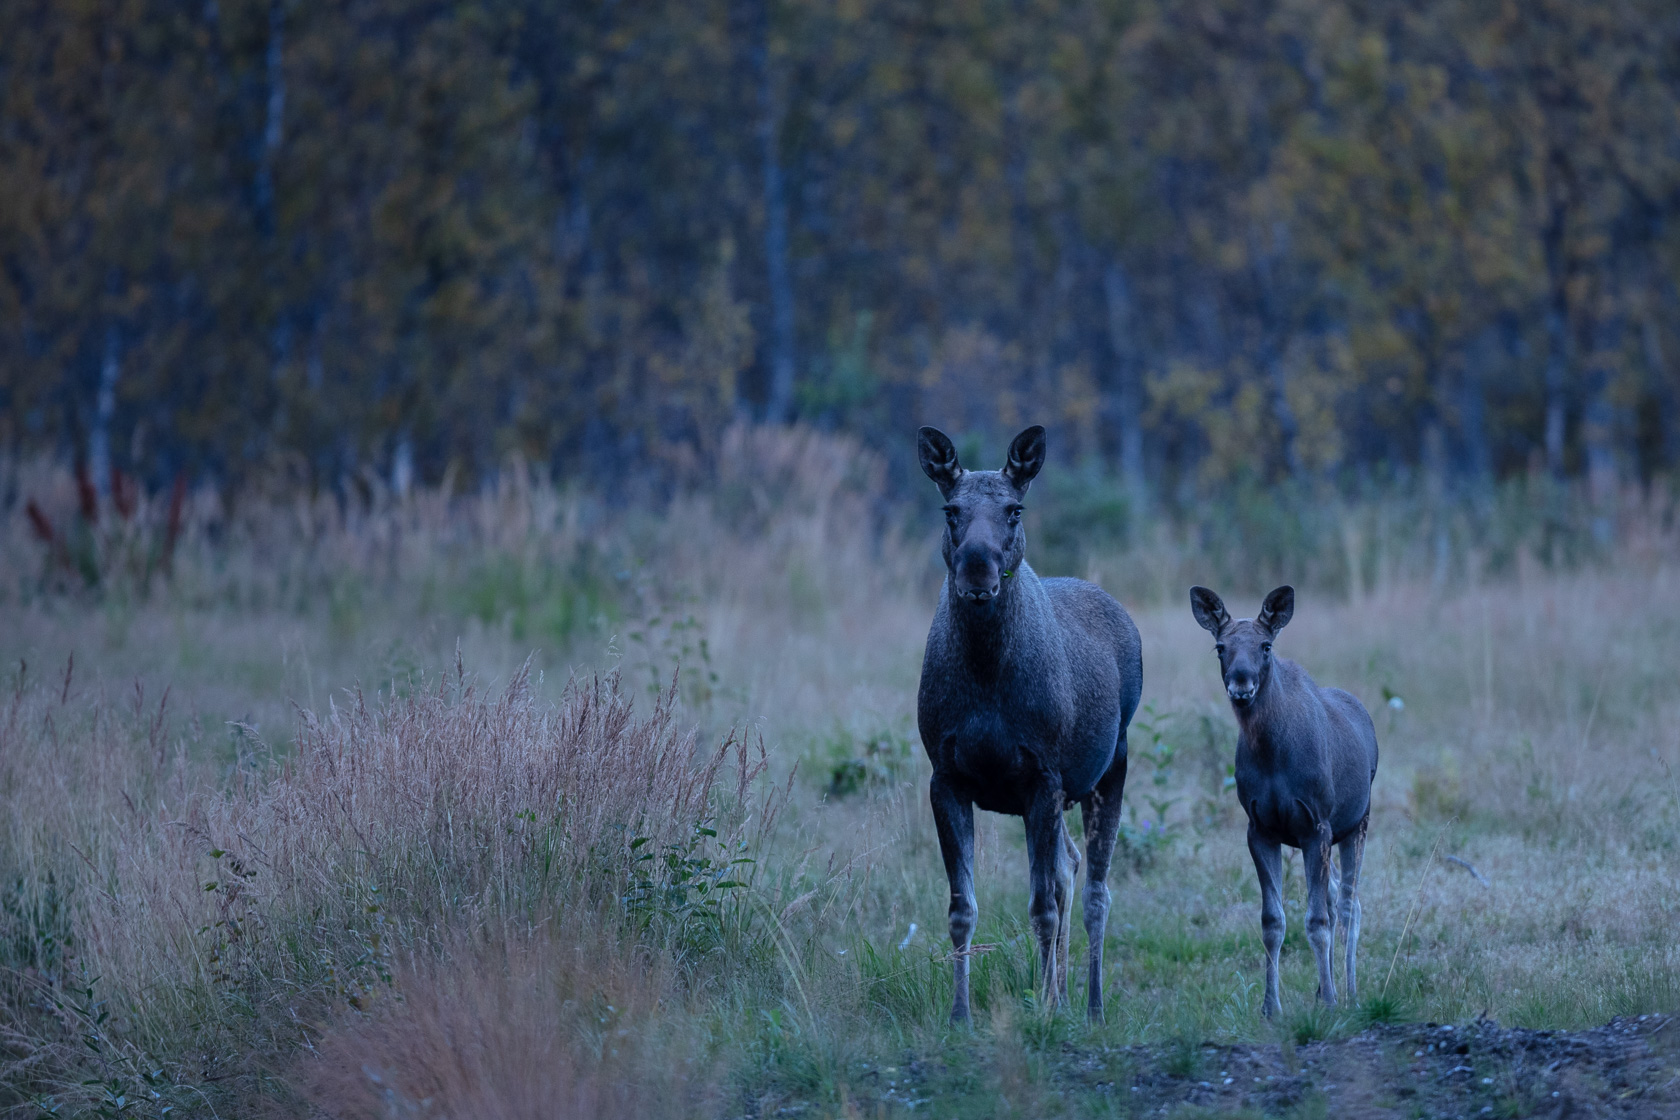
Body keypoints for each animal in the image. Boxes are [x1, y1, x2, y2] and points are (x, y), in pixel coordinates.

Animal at [920, 429, 1142, 1027]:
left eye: (1014, 509)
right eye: (950, 510)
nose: (977, 571)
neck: (985, 672)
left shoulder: (1043, 774)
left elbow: (1042, 906)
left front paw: (1043, 1011)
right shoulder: (946, 776)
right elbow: (961, 908)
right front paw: (960, 1014)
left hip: (1109, 767)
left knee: (1094, 891)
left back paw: (1088, 1004)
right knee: (1068, 864)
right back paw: (1059, 993)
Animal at [1182, 591, 1377, 1020]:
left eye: (1266, 646)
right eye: (1220, 647)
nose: (1241, 682)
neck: (1272, 755)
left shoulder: (1316, 825)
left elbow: (1317, 920)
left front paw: (1332, 1001)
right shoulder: (1260, 829)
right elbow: (1272, 921)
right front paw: (1271, 1007)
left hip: (1357, 823)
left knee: (1349, 904)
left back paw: (1351, 992)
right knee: (1337, 898)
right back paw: (1325, 988)